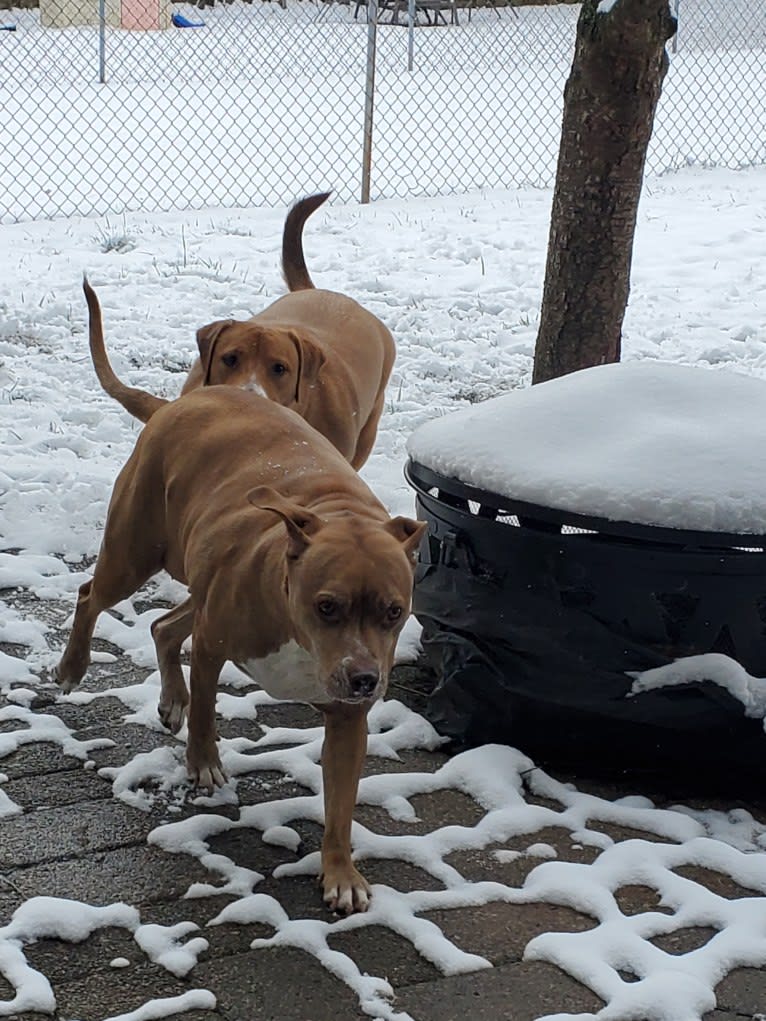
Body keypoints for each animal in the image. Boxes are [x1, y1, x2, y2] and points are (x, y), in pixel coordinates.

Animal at [55, 387, 426, 918]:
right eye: (326, 606)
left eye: (395, 611)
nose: (364, 679)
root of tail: (176, 402)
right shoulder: (213, 644)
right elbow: (206, 711)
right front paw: (203, 764)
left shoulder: (348, 718)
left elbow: (341, 804)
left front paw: (341, 874)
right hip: (135, 554)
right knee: (92, 596)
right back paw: (72, 668)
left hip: (196, 580)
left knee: (163, 626)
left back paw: (171, 699)